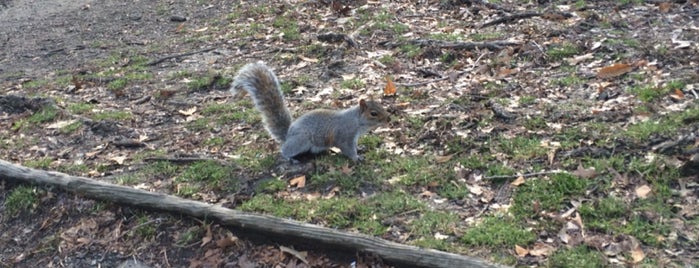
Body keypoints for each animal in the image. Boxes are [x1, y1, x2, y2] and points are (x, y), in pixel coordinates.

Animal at [231, 61, 392, 160]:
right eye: (373, 113)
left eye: (381, 106)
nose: (388, 119)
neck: (357, 121)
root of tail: (288, 135)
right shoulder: (344, 136)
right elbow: (347, 149)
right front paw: (356, 158)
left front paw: (361, 149)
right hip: (300, 141)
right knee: (285, 150)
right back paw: (290, 159)